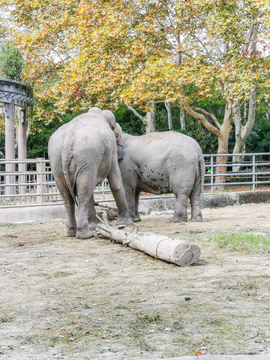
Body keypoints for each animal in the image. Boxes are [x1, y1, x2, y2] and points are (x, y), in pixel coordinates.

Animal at [49, 107, 133, 239]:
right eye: (118, 134)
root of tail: (68, 140)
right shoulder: (111, 149)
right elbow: (115, 182)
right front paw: (126, 223)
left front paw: (94, 226)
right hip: (87, 155)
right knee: (83, 194)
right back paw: (85, 235)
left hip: (57, 161)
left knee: (70, 197)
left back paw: (71, 233)